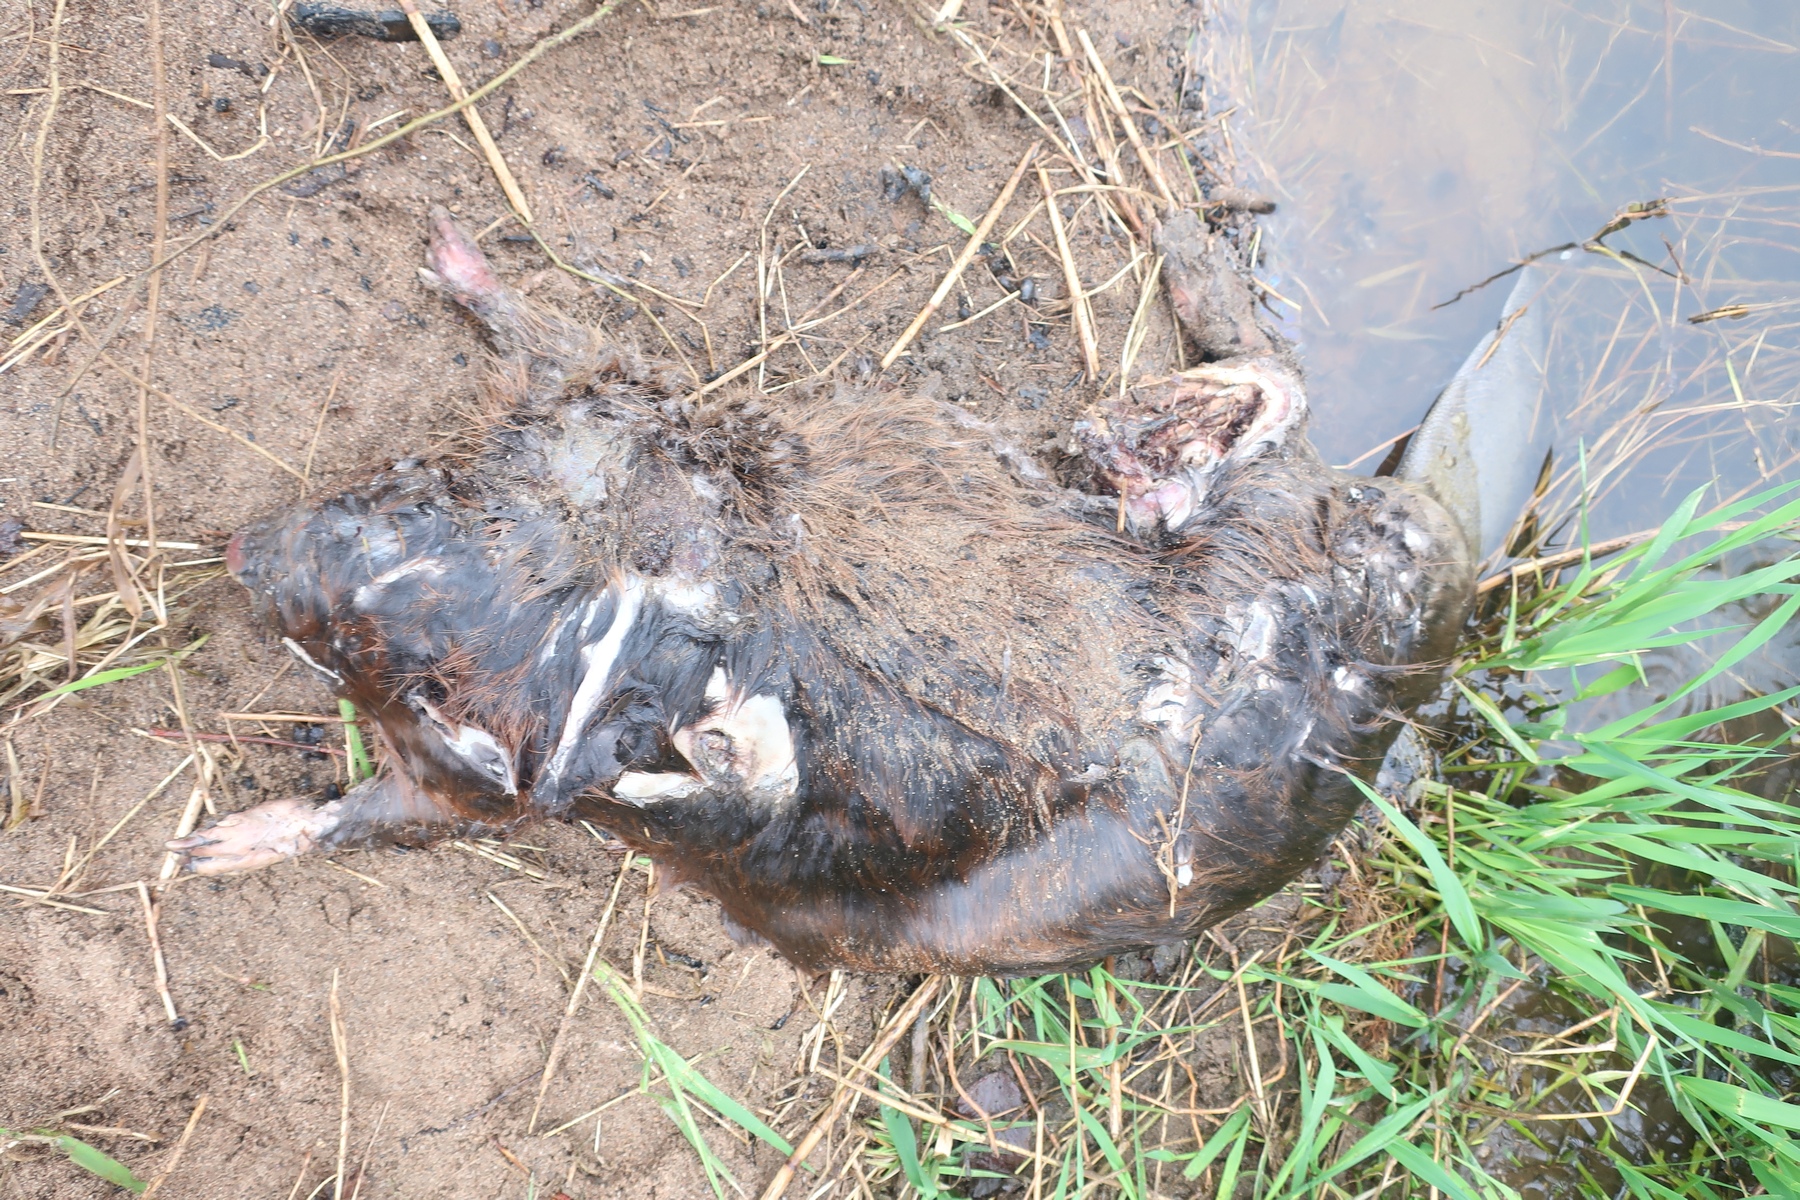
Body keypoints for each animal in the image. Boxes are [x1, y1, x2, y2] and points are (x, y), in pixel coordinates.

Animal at [171, 208, 1548, 978]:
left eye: (411, 490)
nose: (245, 552)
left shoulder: (602, 454)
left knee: (1282, 394)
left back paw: (1160, 427)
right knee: (1284, 398)